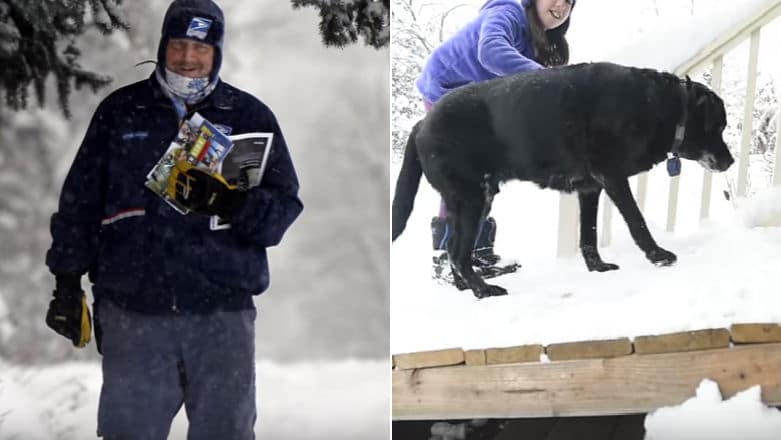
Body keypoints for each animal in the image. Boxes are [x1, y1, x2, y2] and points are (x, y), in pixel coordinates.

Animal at [394, 61, 736, 300]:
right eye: (718, 126)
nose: (730, 161)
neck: (661, 106)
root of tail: (421, 124)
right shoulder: (613, 178)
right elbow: (637, 222)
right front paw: (658, 256)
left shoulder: (591, 188)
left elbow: (589, 234)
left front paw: (597, 267)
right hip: (474, 198)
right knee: (457, 252)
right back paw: (483, 290)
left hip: (471, 199)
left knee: (452, 247)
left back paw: (465, 288)